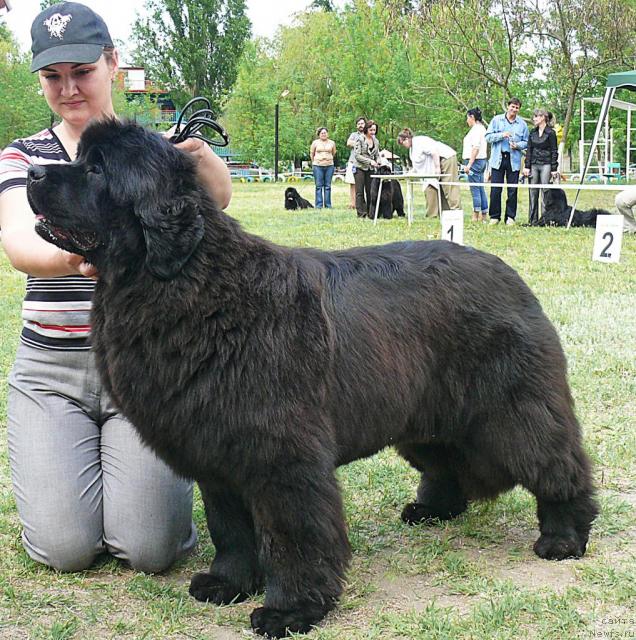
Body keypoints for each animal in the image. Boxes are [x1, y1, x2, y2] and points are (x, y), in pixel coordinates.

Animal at [27, 121, 600, 640]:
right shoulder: (218, 455)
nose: (31, 172)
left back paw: (564, 537)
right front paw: (228, 583)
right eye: (78, 158)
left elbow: (293, 536)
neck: (191, 283)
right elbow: (230, 529)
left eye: (97, 169)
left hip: (513, 410)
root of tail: (508, 273)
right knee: (445, 461)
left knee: (557, 464)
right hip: (423, 415)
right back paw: (432, 509)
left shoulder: (282, 457)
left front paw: (290, 610)